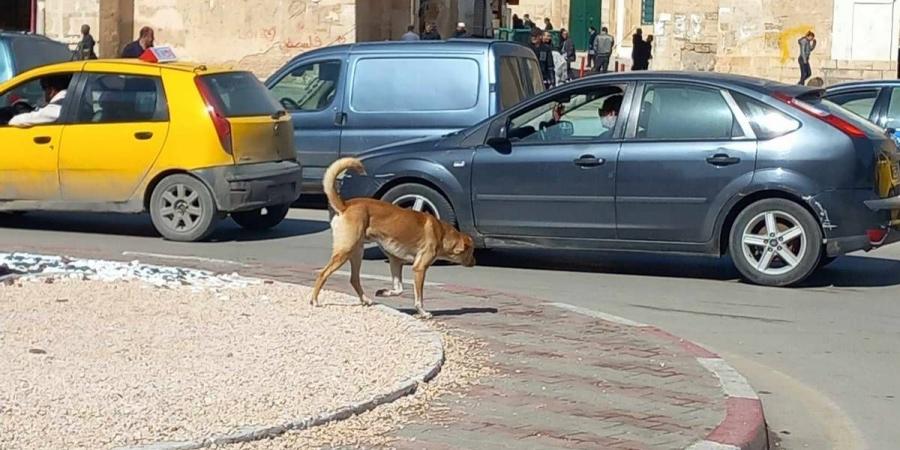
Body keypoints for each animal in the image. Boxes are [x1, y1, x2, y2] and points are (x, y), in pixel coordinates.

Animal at [312, 156, 478, 318]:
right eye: (472, 251)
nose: (475, 262)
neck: (442, 233)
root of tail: (345, 205)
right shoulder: (419, 268)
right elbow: (418, 298)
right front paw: (423, 313)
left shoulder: (395, 262)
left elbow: (399, 289)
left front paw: (385, 292)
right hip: (345, 250)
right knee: (323, 274)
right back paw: (314, 300)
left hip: (357, 252)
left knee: (354, 279)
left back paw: (365, 299)